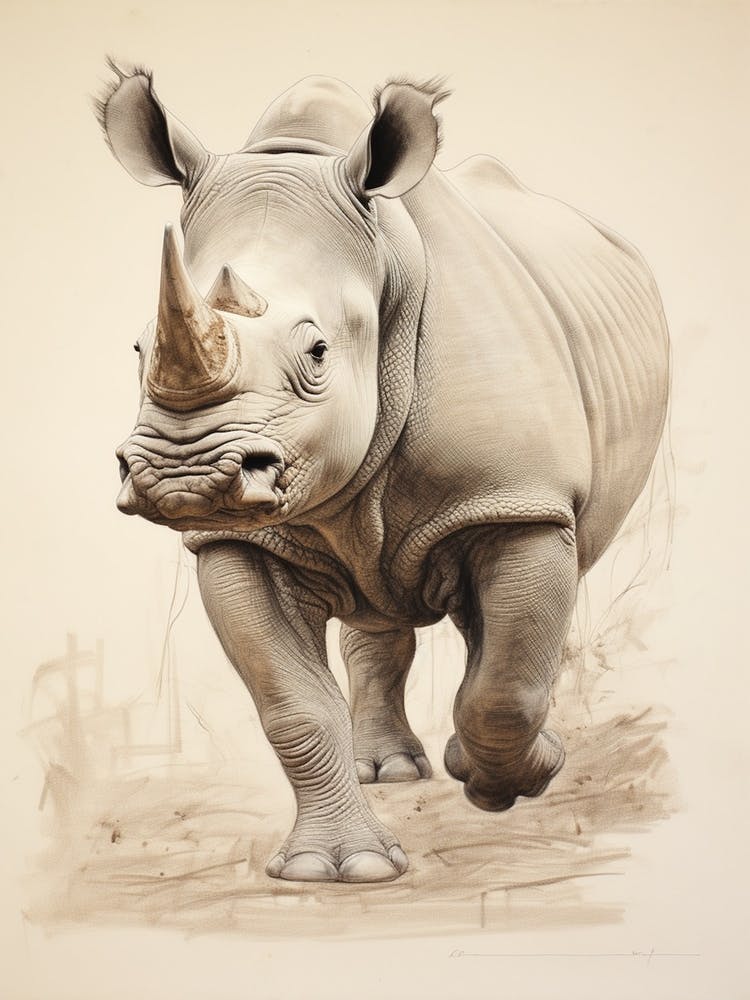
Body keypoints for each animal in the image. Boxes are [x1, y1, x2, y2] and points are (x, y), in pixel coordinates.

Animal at [98, 64, 669, 884]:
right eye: (140, 348)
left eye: (317, 353)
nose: (184, 476)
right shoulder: (234, 540)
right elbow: (293, 706)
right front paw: (337, 870)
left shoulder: (516, 500)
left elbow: (506, 687)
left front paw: (510, 783)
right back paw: (390, 775)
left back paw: (463, 766)